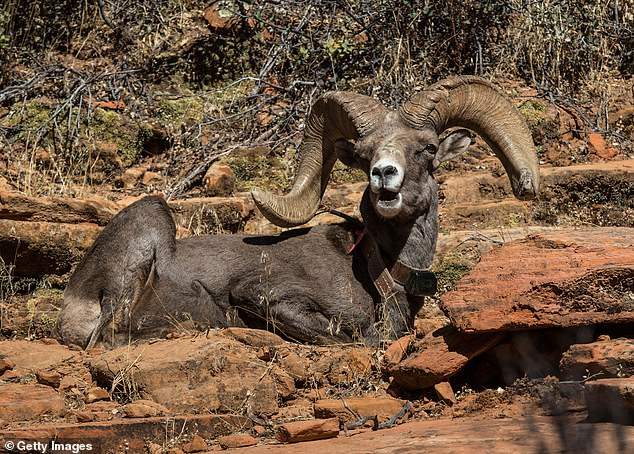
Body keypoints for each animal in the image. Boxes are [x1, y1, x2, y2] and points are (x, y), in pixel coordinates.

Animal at [59, 77, 536, 348]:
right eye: (364, 155)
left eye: (429, 148)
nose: (384, 175)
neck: (380, 270)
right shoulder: (262, 295)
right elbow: (346, 337)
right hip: (153, 220)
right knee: (107, 338)